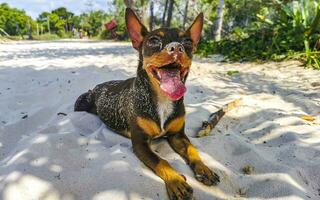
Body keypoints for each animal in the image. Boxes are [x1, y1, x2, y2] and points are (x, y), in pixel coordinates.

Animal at [75, 8, 220, 200]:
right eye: (154, 40)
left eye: (188, 42)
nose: (176, 47)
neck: (162, 99)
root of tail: (98, 87)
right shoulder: (140, 143)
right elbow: (161, 161)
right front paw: (176, 181)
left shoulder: (178, 136)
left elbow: (192, 151)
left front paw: (204, 168)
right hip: (81, 103)